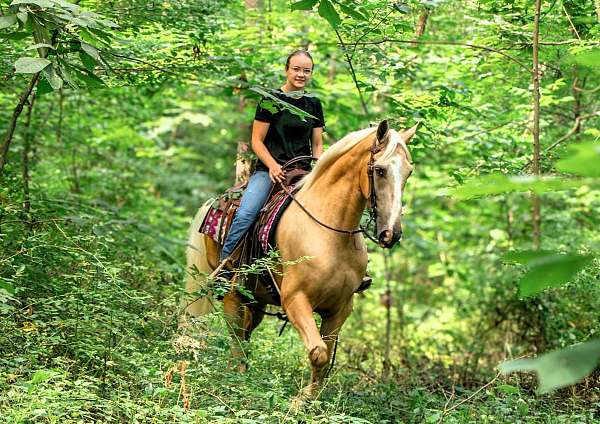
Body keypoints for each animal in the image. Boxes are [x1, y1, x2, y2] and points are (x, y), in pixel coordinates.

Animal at [183, 119, 414, 398]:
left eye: (409, 172)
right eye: (379, 170)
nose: (392, 233)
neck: (329, 232)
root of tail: (216, 200)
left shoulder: (340, 309)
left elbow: (325, 359)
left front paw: (312, 400)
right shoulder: (295, 300)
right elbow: (319, 353)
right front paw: (300, 401)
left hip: (256, 300)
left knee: (246, 333)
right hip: (233, 291)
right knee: (236, 336)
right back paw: (234, 381)